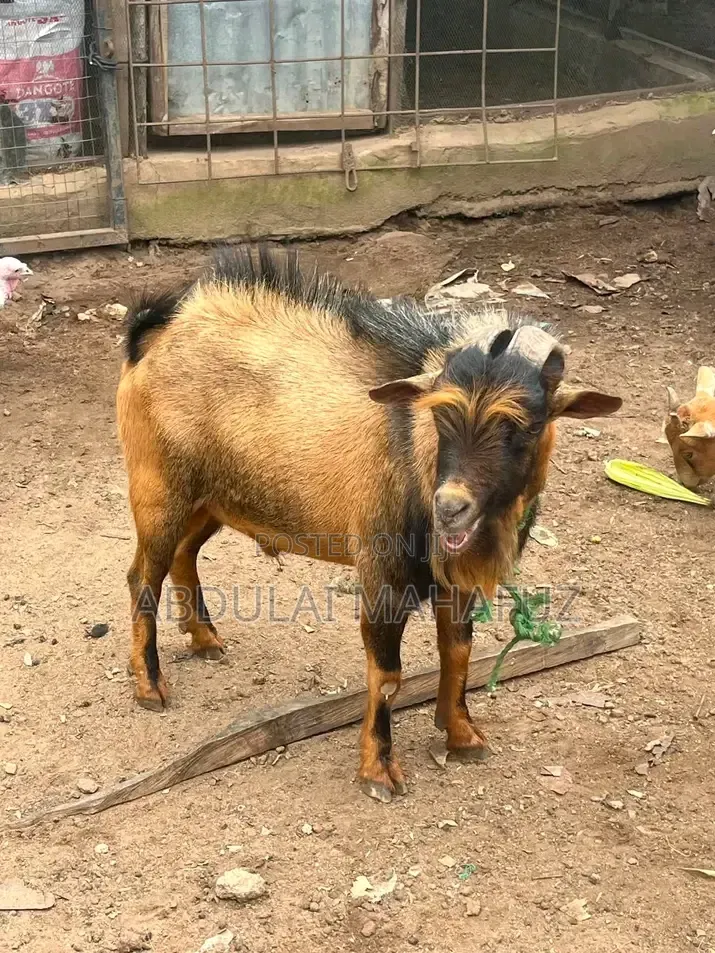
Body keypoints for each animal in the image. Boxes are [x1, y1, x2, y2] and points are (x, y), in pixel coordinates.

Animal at [116, 246, 622, 803]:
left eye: (527, 425)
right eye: (439, 416)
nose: (451, 507)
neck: (416, 457)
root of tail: (155, 335)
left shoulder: (453, 579)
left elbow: (459, 649)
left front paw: (462, 735)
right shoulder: (383, 574)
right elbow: (389, 674)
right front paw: (379, 771)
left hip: (211, 499)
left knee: (184, 554)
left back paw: (205, 640)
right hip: (158, 490)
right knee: (143, 577)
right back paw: (150, 686)